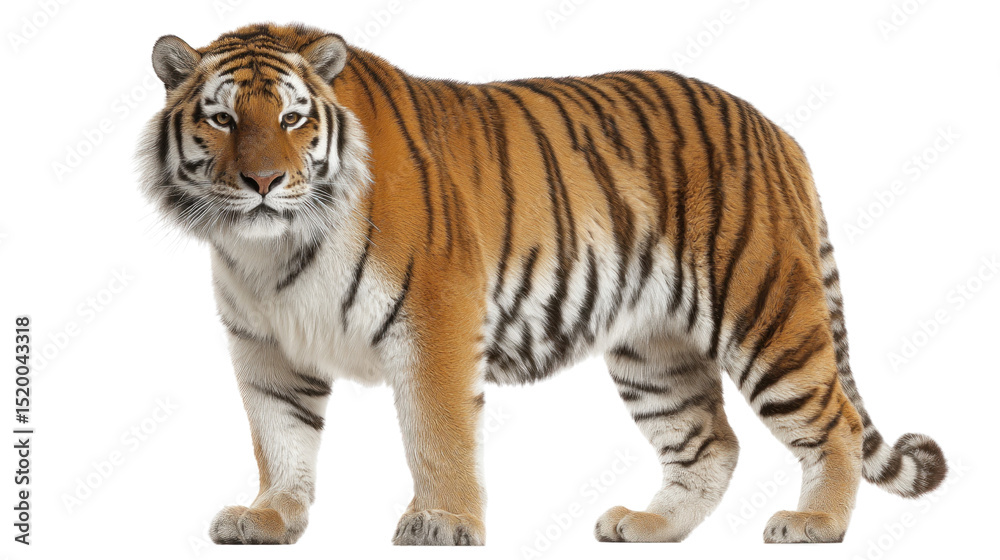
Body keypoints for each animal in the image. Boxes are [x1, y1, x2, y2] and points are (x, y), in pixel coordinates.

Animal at [137, 22, 947, 546]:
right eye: (221, 119)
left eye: (293, 120)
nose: (265, 182)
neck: (271, 250)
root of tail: (777, 131)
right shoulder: (263, 344)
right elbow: (279, 437)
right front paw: (270, 515)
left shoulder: (435, 318)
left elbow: (438, 434)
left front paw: (442, 521)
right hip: (655, 350)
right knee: (709, 444)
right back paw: (649, 526)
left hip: (765, 310)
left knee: (835, 422)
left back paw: (817, 524)